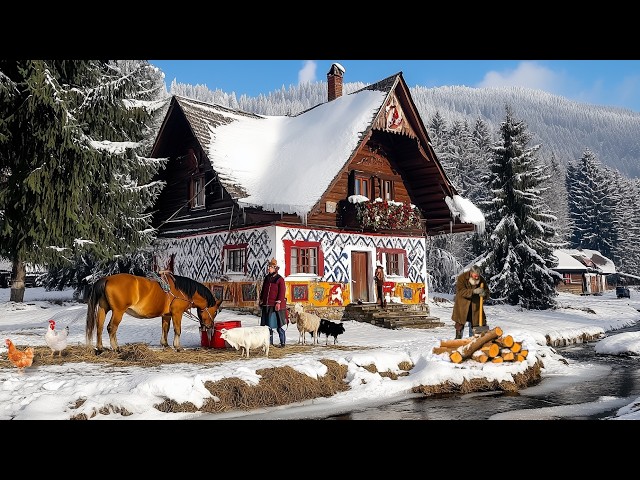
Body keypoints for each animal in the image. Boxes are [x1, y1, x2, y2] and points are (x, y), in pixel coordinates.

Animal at [86, 274, 222, 352]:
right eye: (215, 312)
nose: (210, 326)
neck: (182, 291)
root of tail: (107, 279)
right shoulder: (177, 313)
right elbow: (177, 330)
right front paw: (177, 346)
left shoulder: (166, 315)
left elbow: (165, 329)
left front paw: (165, 344)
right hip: (118, 312)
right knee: (111, 328)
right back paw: (116, 347)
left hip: (103, 309)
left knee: (99, 327)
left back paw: (100, 347)